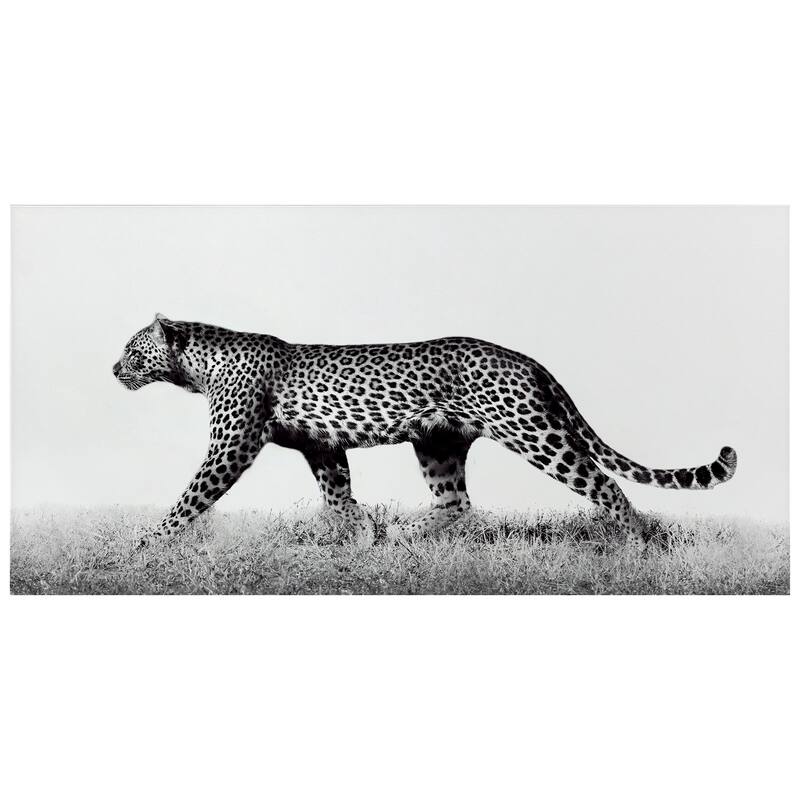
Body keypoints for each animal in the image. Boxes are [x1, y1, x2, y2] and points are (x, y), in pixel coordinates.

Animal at [113, 314, 738, 549]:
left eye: (132, 350)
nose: (114, 369)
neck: (197, 367)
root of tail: (526, 358)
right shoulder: (322, 445)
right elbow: (337, 497)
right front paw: (359, 536)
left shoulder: (232, 444)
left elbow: (191, 497)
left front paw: (147, 543)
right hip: (437, 442)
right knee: (455, 503)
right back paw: (404, 535)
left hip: (534, 433)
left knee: (603, 484)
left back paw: (639, 544)